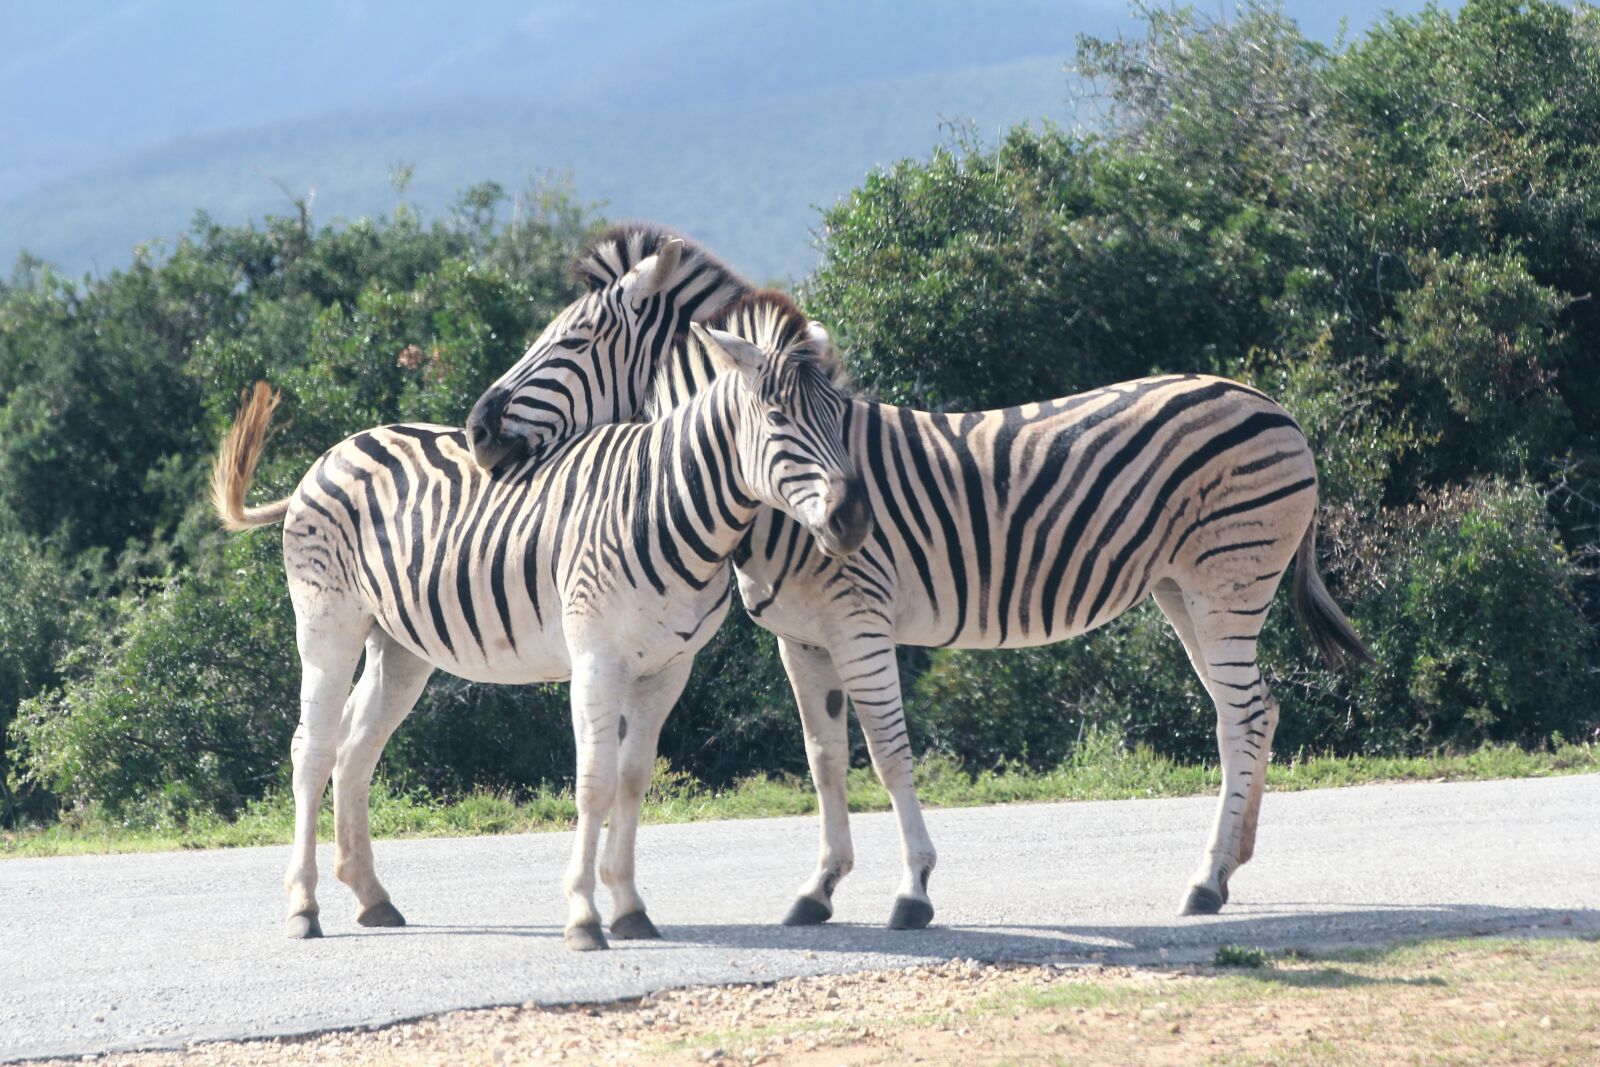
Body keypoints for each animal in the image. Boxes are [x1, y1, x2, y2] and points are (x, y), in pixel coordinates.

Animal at [210, 292, 870, 952]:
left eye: (843, 417)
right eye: (778, 418)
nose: (852, 521)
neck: (664, 501)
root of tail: (334, 450)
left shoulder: (668, 668)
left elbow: (632, 779)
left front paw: (630, 909)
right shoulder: (596, 659)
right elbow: (594, 782)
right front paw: (583, 917)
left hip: (400, 647)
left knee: (355, 749)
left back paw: (372, 898)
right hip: (328, 624)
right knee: (312, 749)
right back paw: (304, 908)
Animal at [470, 306, 1372, 929]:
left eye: (574, 340)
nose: (477, 428)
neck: (769, 512)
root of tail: (1275, 404)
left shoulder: (861, 622)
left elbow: (890, 754)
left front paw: (912, 891)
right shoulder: (802, 638)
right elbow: (825, 758)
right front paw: (818, 889)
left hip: (1227, 579)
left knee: (1241, 714)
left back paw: (1207, 876)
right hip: (1184, 590)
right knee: (1254, 711)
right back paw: (1230, 866)